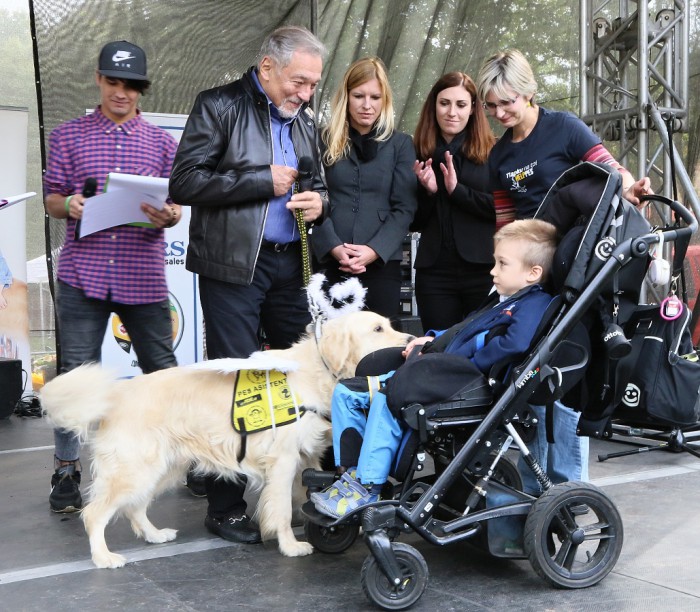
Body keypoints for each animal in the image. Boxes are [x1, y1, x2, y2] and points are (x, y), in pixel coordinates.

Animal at [39, 310, 410, 568]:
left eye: (389, 325)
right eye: (378, 329)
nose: (411, 342)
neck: (316, 373)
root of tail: (116, 395)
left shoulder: (306, 457)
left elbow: (305, 493)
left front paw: (332, 520)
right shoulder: (284, 459)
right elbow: (279, 508)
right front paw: (291, 545)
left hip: (161, 468)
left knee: (134, 508)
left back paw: (155, 535)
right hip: (135, 469)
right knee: (95, 513)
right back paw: (104, 557)